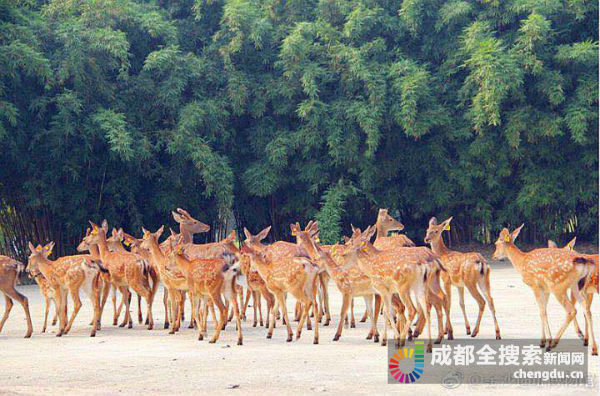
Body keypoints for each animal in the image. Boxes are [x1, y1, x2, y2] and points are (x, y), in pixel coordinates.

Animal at [492, 224, 596, 352]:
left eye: (496, 243)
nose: (493, 256)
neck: (521, 262)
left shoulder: (535, 285)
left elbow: (541, 312)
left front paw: (546, 341)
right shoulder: (545, 289)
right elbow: (544, 311)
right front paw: (543, 341)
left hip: (558, 286)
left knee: (571, 310)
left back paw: (554, 344)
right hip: (577, 286)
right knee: (587, 309)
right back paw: (592, 347)